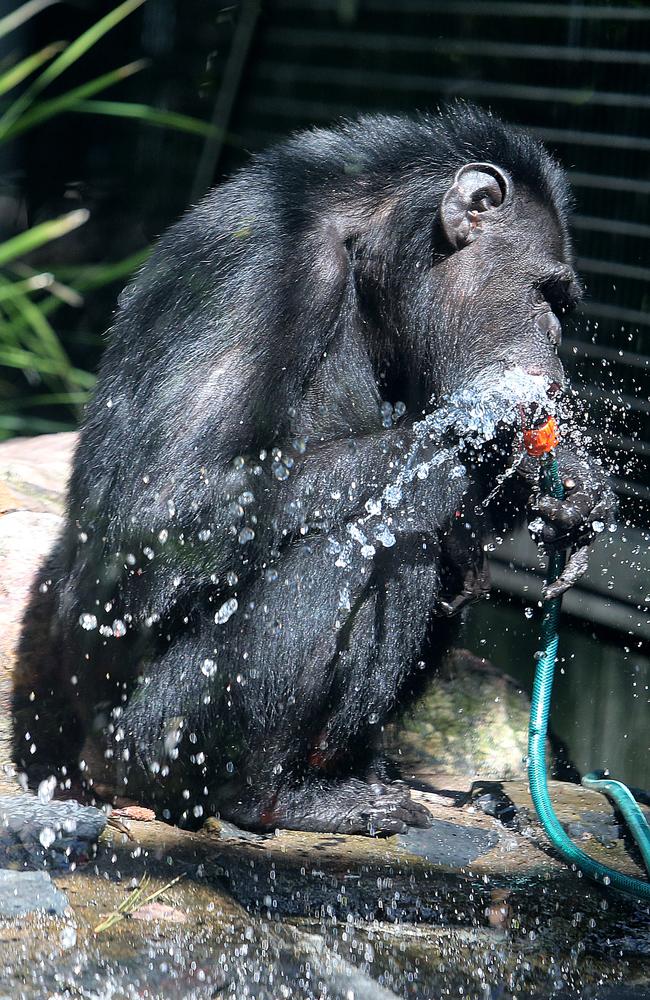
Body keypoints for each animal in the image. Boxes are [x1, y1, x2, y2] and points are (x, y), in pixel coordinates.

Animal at [13, 103, 612, 836]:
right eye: (548, 296)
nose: (555, 346)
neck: (373, 249)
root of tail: (80, 765)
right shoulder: (264, 270)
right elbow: (159, 507)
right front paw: (494, 434)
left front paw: (569, 489)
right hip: (146, 745)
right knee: (363, 544)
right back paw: (276, 797)